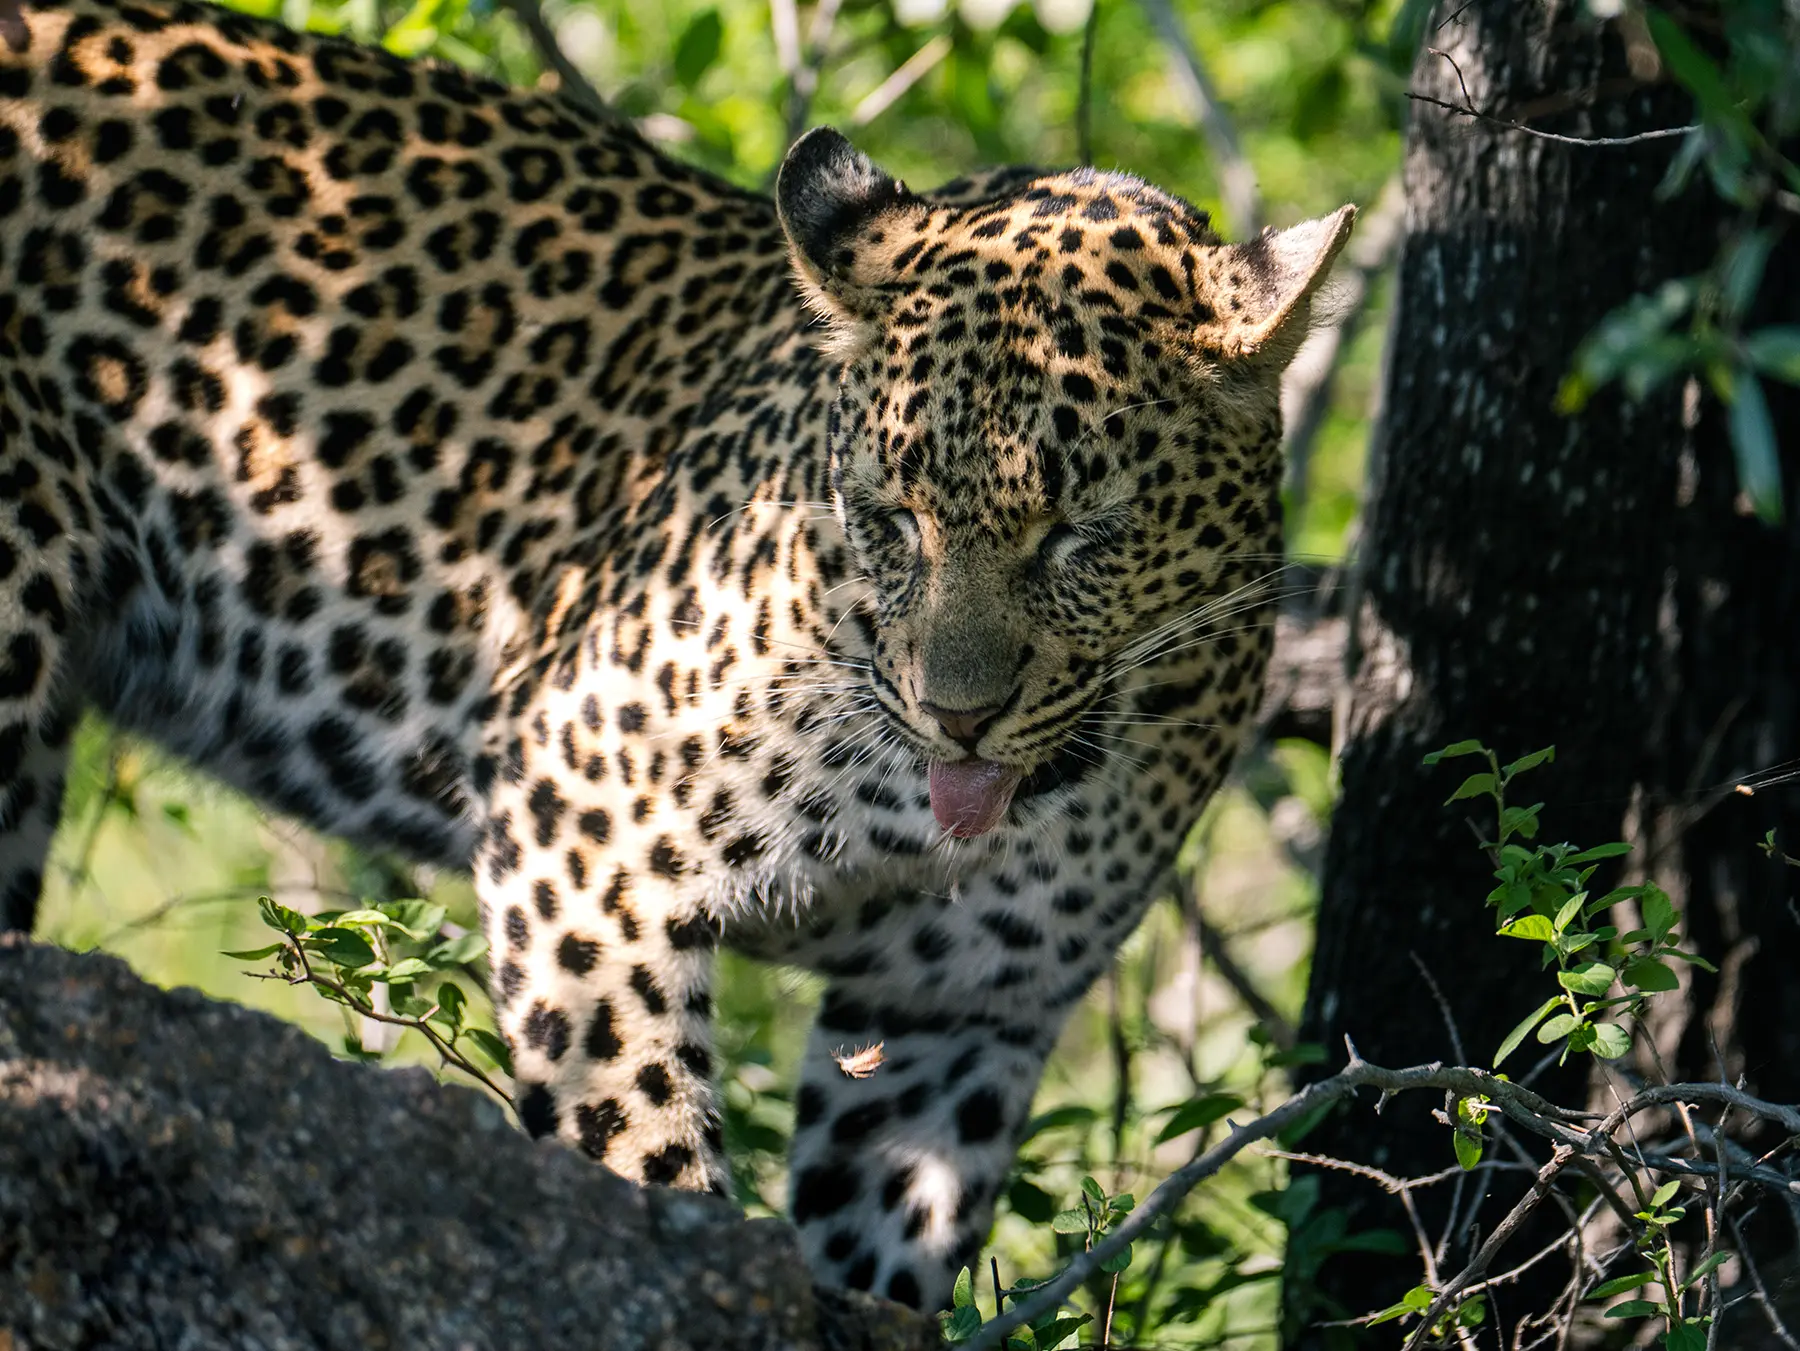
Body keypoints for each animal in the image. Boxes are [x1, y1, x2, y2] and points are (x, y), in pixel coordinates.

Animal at [0, 0, 1354, 1311]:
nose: (956, 715)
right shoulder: (584, 818)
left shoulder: (956, 1021)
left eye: (1083, 530)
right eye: (896, 516)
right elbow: (635, 1133)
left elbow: (884, 1256)